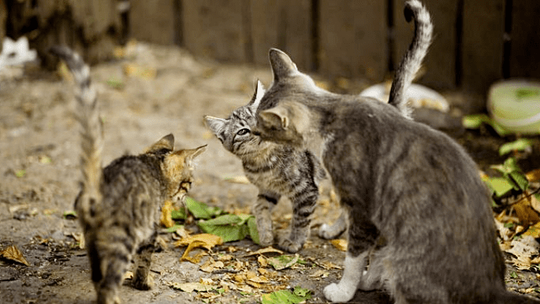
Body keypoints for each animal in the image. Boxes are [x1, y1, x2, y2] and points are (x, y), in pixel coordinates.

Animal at [49, 45, 206, 304]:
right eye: (189, 183)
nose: (186, 196)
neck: (153, 165)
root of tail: (97, 188)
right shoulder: (149, 225)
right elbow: (145, 259)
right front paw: (143, 282)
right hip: (121, 239)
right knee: (108, 283)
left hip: (92, 239)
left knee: (98, 276)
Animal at [205, 82, 326, 253]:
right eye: (242, 131)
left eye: (260, 119)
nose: (259, 131)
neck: (263, 162)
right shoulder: (268, 189)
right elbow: (259, 207)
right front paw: (265, 234)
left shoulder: (306, 190)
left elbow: (300, 219)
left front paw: (294, 241)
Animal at [253, 1, 540, 302]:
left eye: (262, 124)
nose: (251, 130)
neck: (333, 111)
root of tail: (492, 285)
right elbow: (374, 252)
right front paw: (367, 278)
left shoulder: (366, 208)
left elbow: (354, 258)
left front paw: (344, 289)